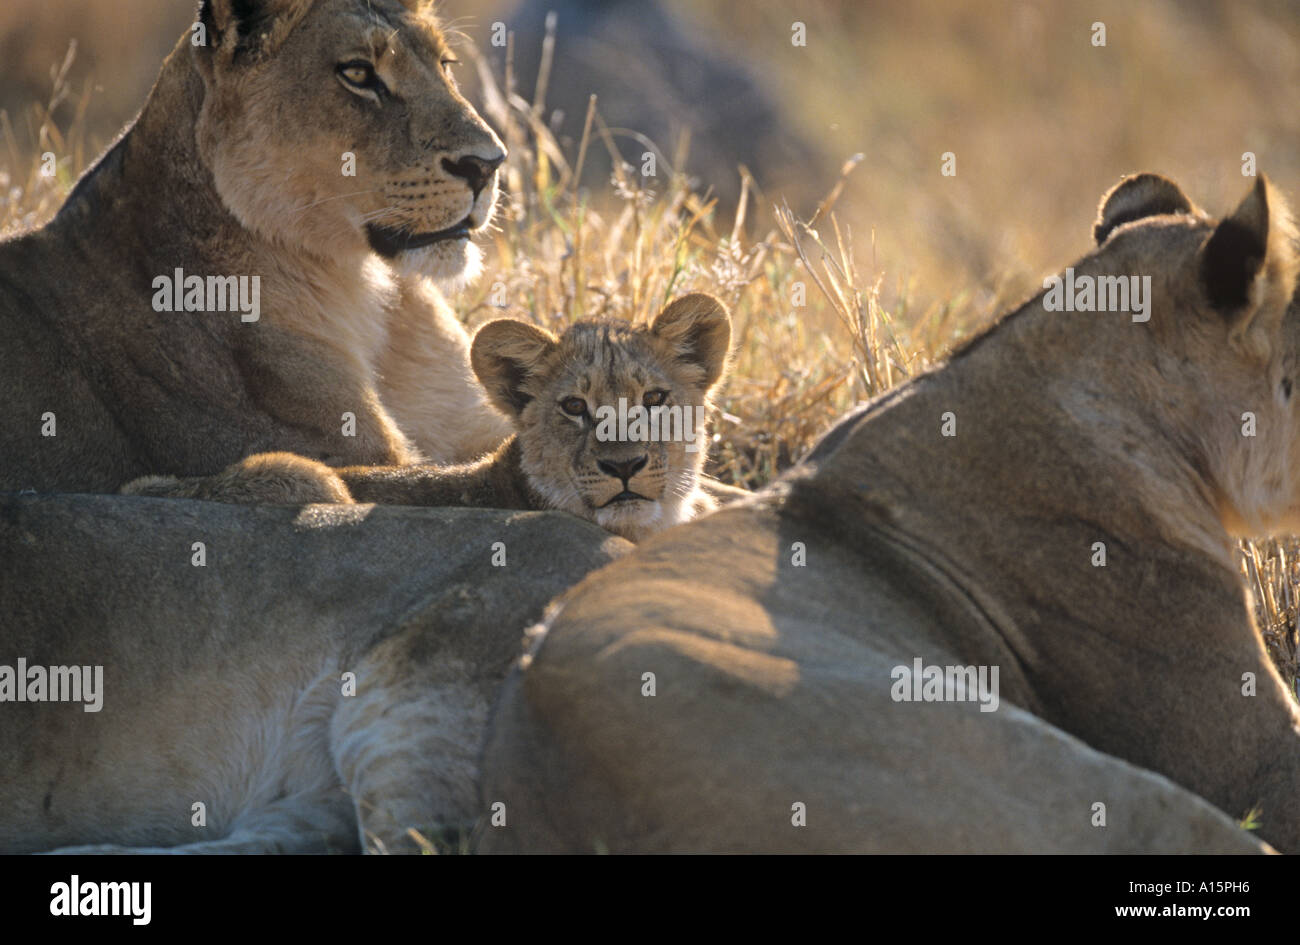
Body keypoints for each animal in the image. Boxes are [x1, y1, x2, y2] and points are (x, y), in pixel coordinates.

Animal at [0, 0, 511, 494]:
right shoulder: (314, 449)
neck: (363, 288)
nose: (488, 164)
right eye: (358, 74)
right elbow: (441, 480)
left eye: (445, 65)